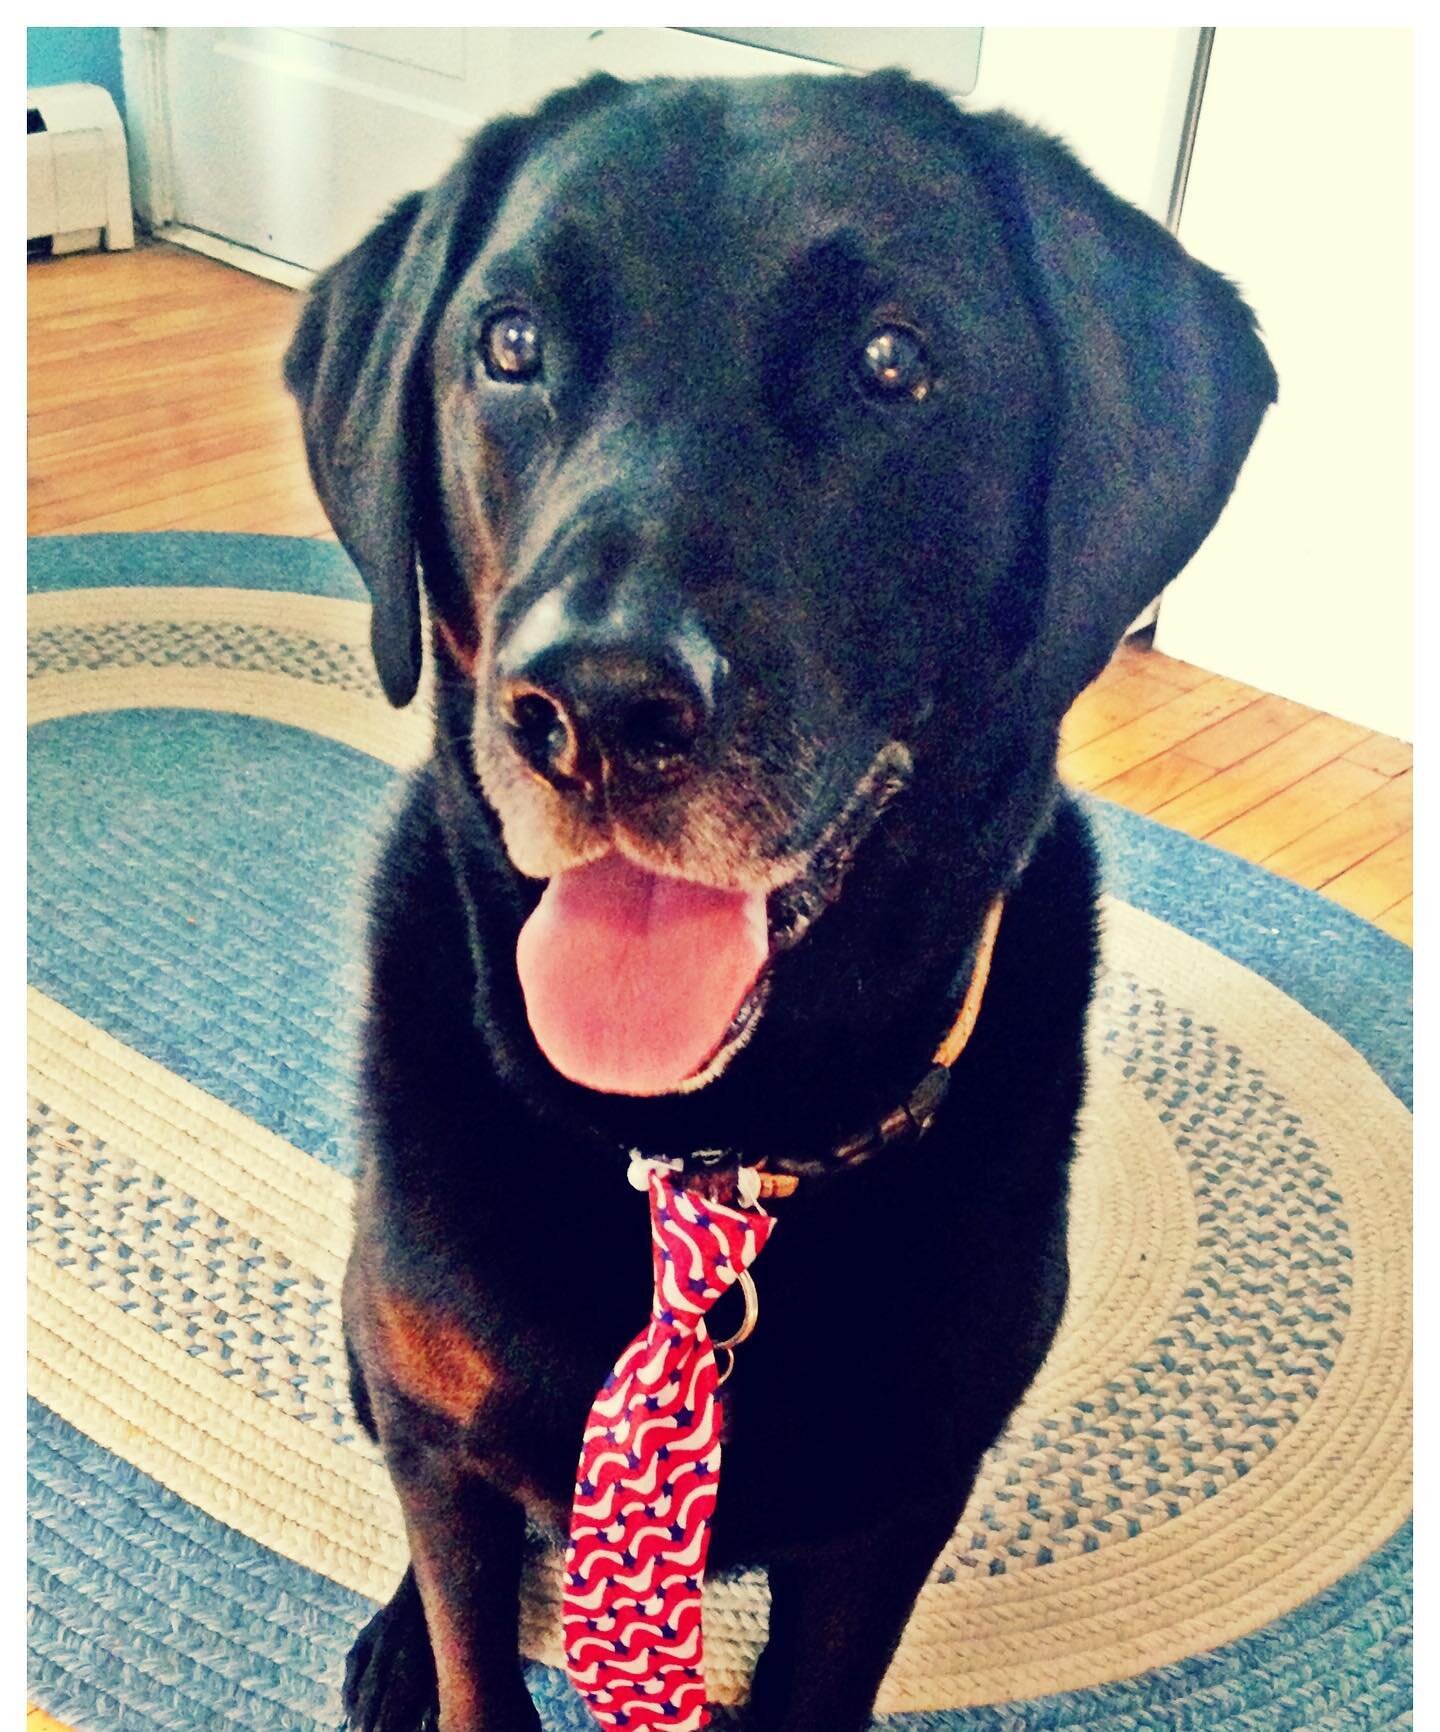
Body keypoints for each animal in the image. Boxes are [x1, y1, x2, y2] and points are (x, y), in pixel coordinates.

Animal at [287, 71, 1275, 1732]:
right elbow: (477, 1639)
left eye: (893, 362)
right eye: (508, 345)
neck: (703, 1153)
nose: (594, 709)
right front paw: (432, 1648)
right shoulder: (438, 1428)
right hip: (383, 1352)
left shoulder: (899, 1510)